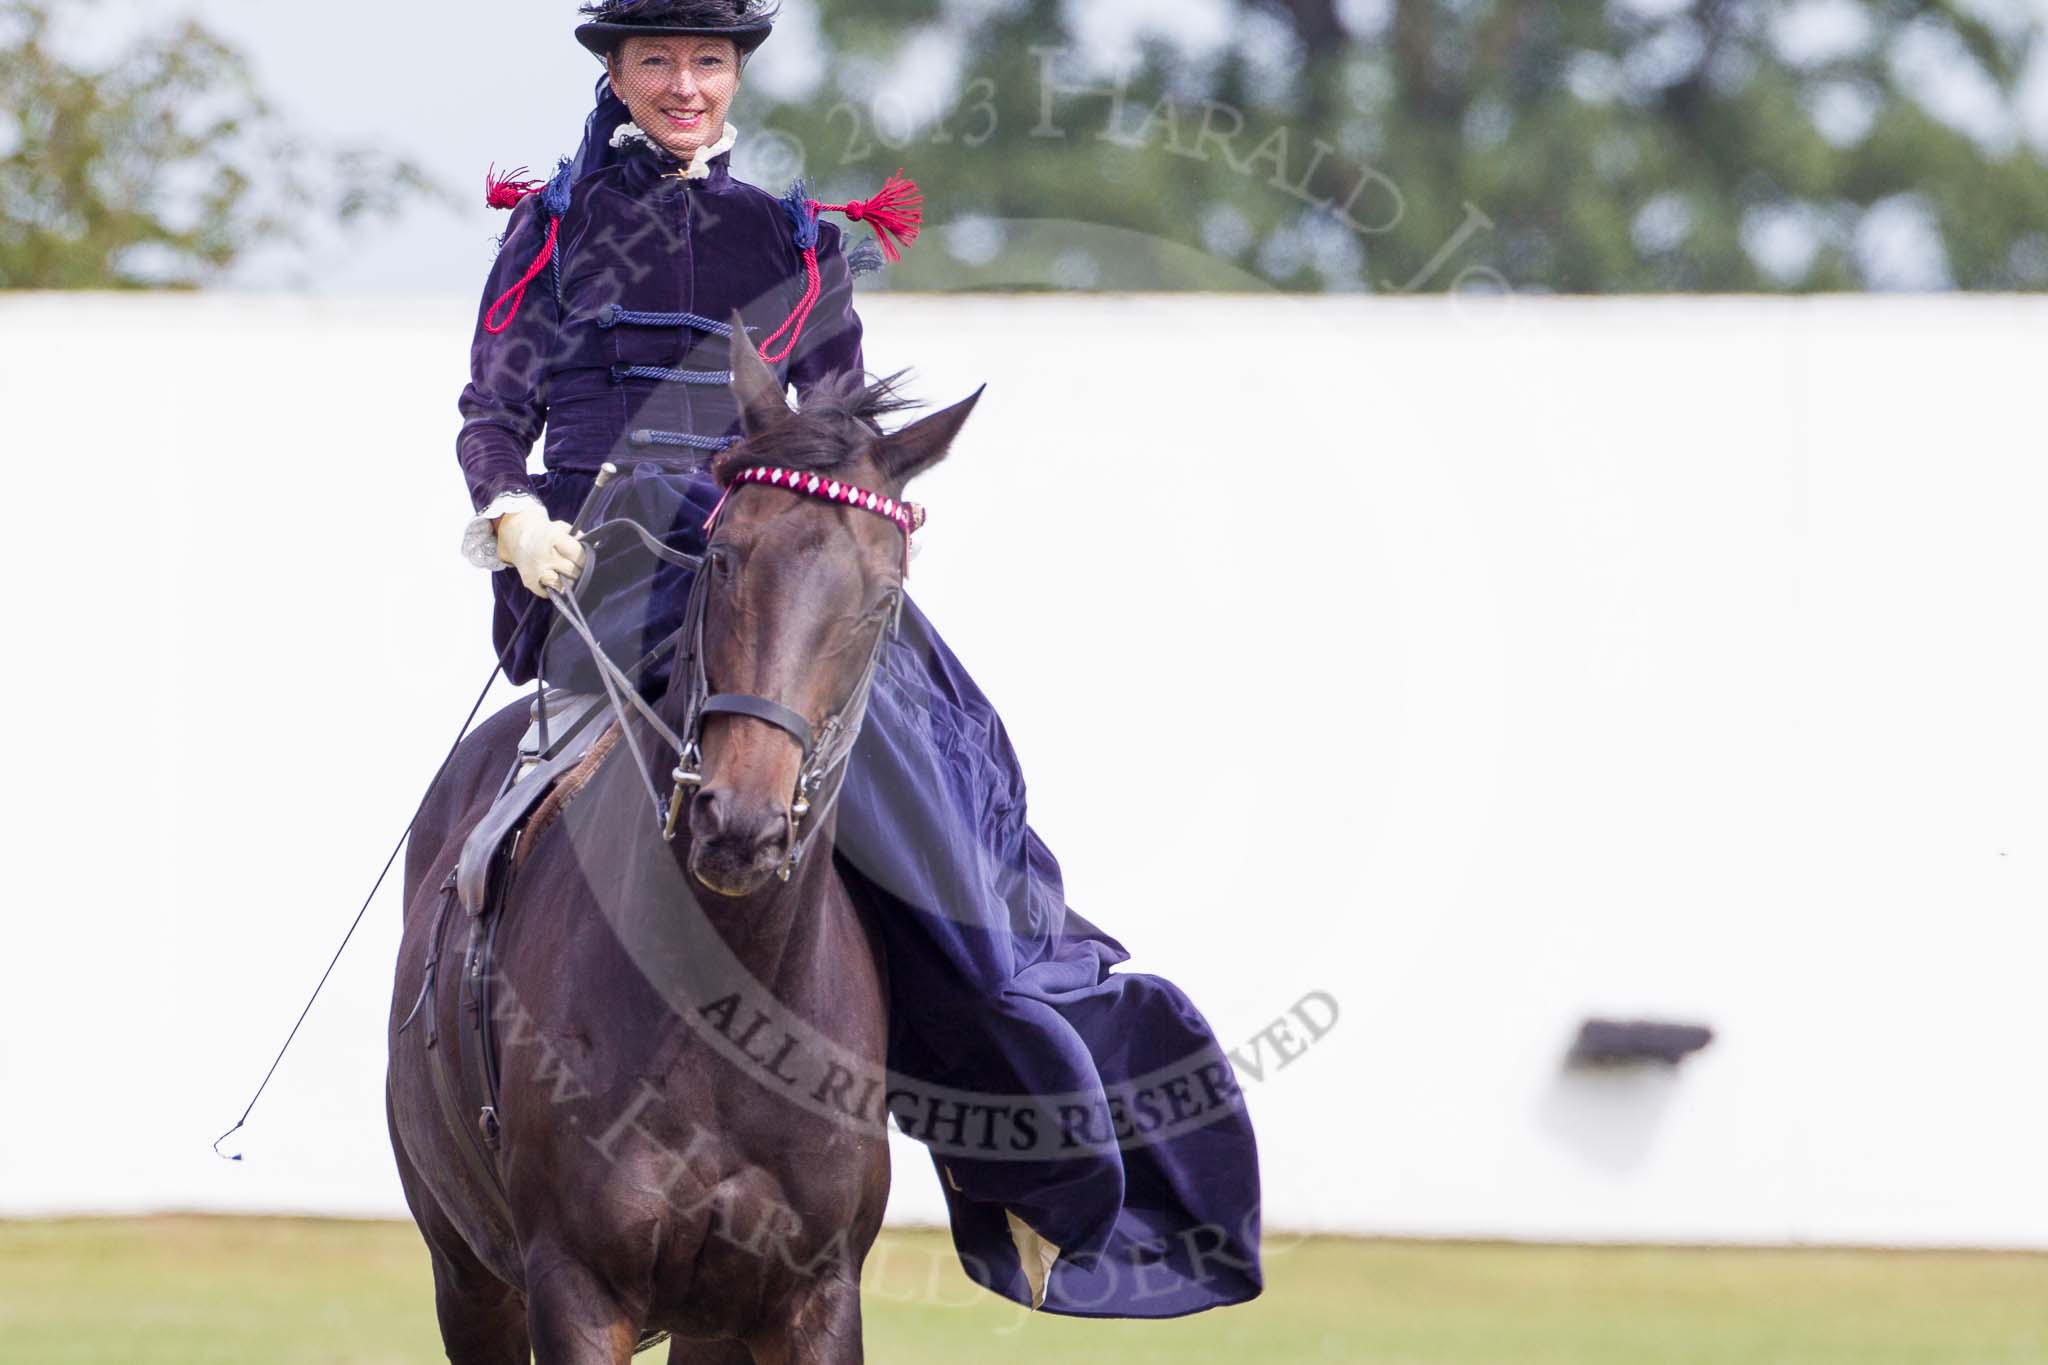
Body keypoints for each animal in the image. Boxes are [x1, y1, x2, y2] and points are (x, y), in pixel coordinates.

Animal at [389, 323, 983, 1365]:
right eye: (726, 557)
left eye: (883, 600)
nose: (739, 822)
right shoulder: (575, 1287)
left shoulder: (811, 1298)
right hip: (466, 1274)